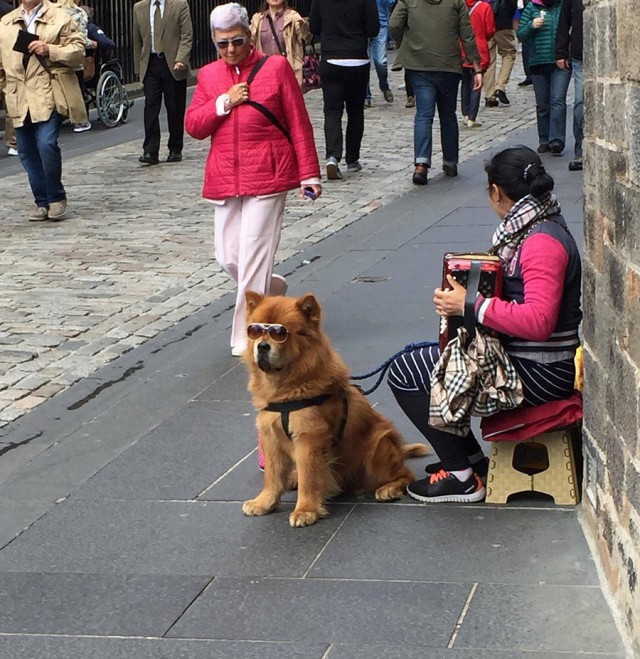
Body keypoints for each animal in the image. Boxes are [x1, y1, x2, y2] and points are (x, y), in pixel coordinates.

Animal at [240, 292, 430, 528]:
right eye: (255, 330)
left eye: (280, 333)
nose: (262, 347)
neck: (285, 387)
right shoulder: (270, 435)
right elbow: (273, 476)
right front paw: (264, 503)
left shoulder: (308, 438)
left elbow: (309, 478)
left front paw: (305, 510)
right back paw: (292, 478)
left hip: (376, 448)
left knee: (405, 474)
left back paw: (389, 489)